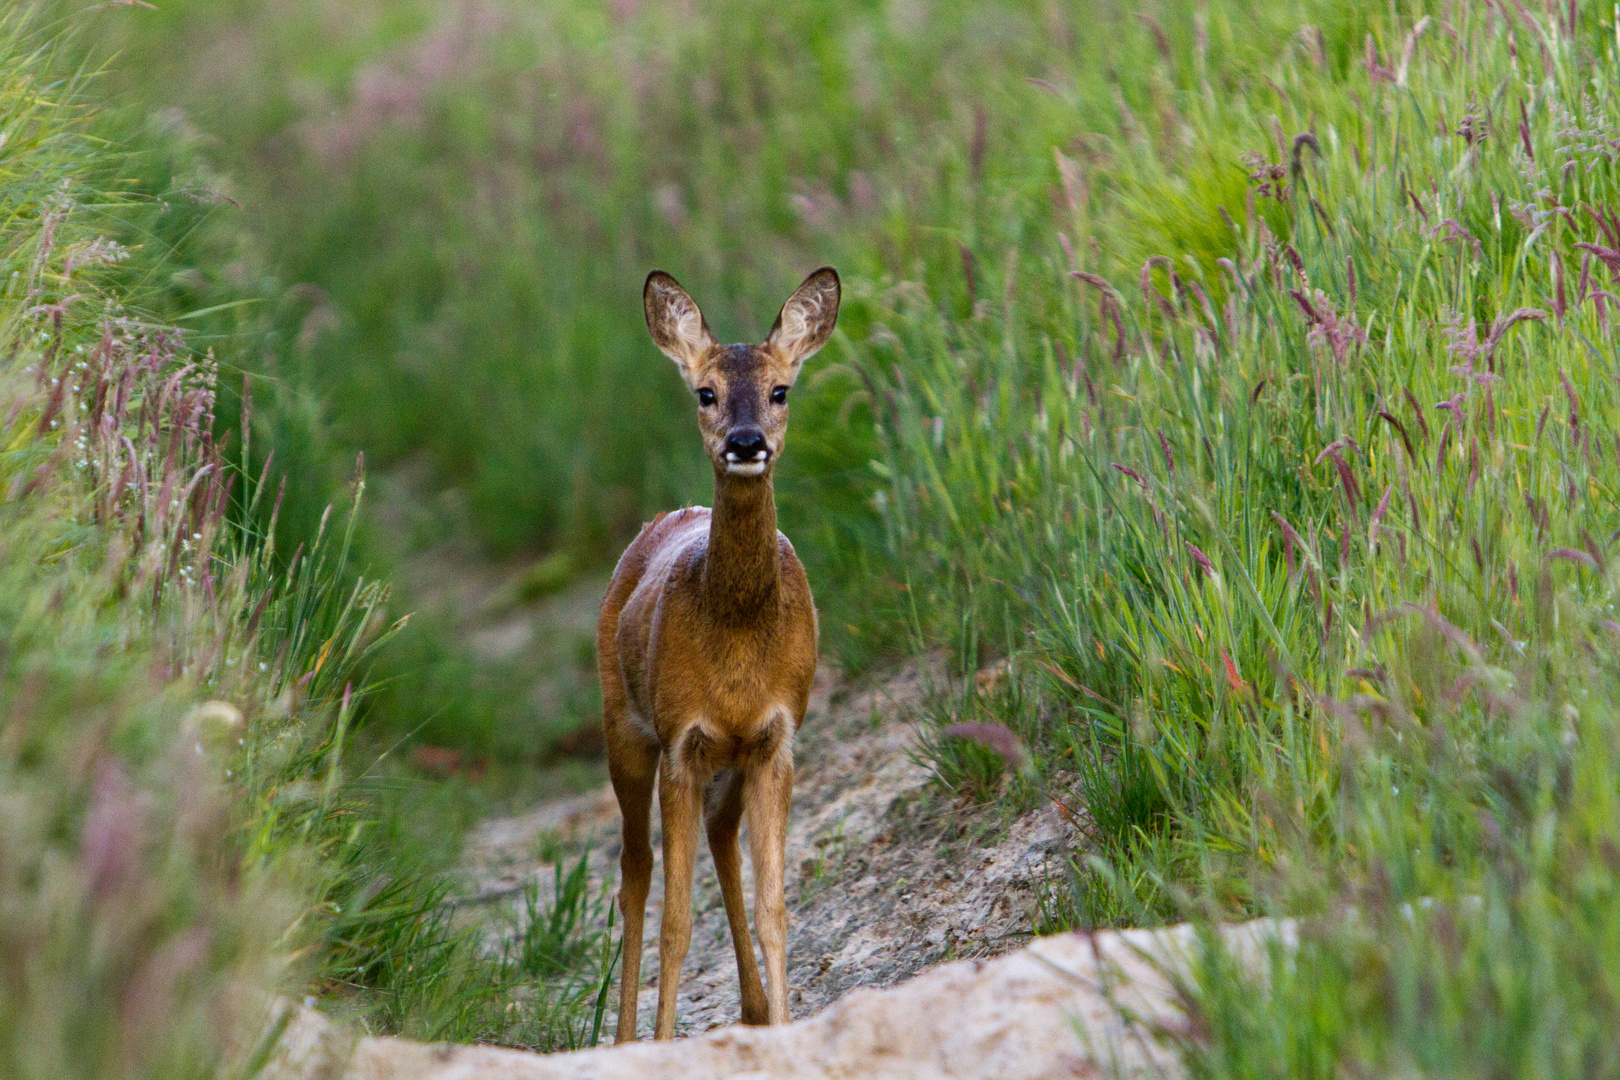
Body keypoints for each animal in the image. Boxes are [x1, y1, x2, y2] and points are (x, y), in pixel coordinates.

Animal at [602, 265, 842, 1042]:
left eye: (781, 390)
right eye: (705, 392)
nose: (744, 441)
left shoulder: (775, 738)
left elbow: (776, 909)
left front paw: (785, 1024)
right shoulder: (683, 739)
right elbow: (677, 923)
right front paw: (660, 1044)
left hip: (728, 762)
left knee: (719, 836)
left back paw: (755, 1009)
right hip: (623, 725)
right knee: (635, 871)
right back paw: (624, 1038)